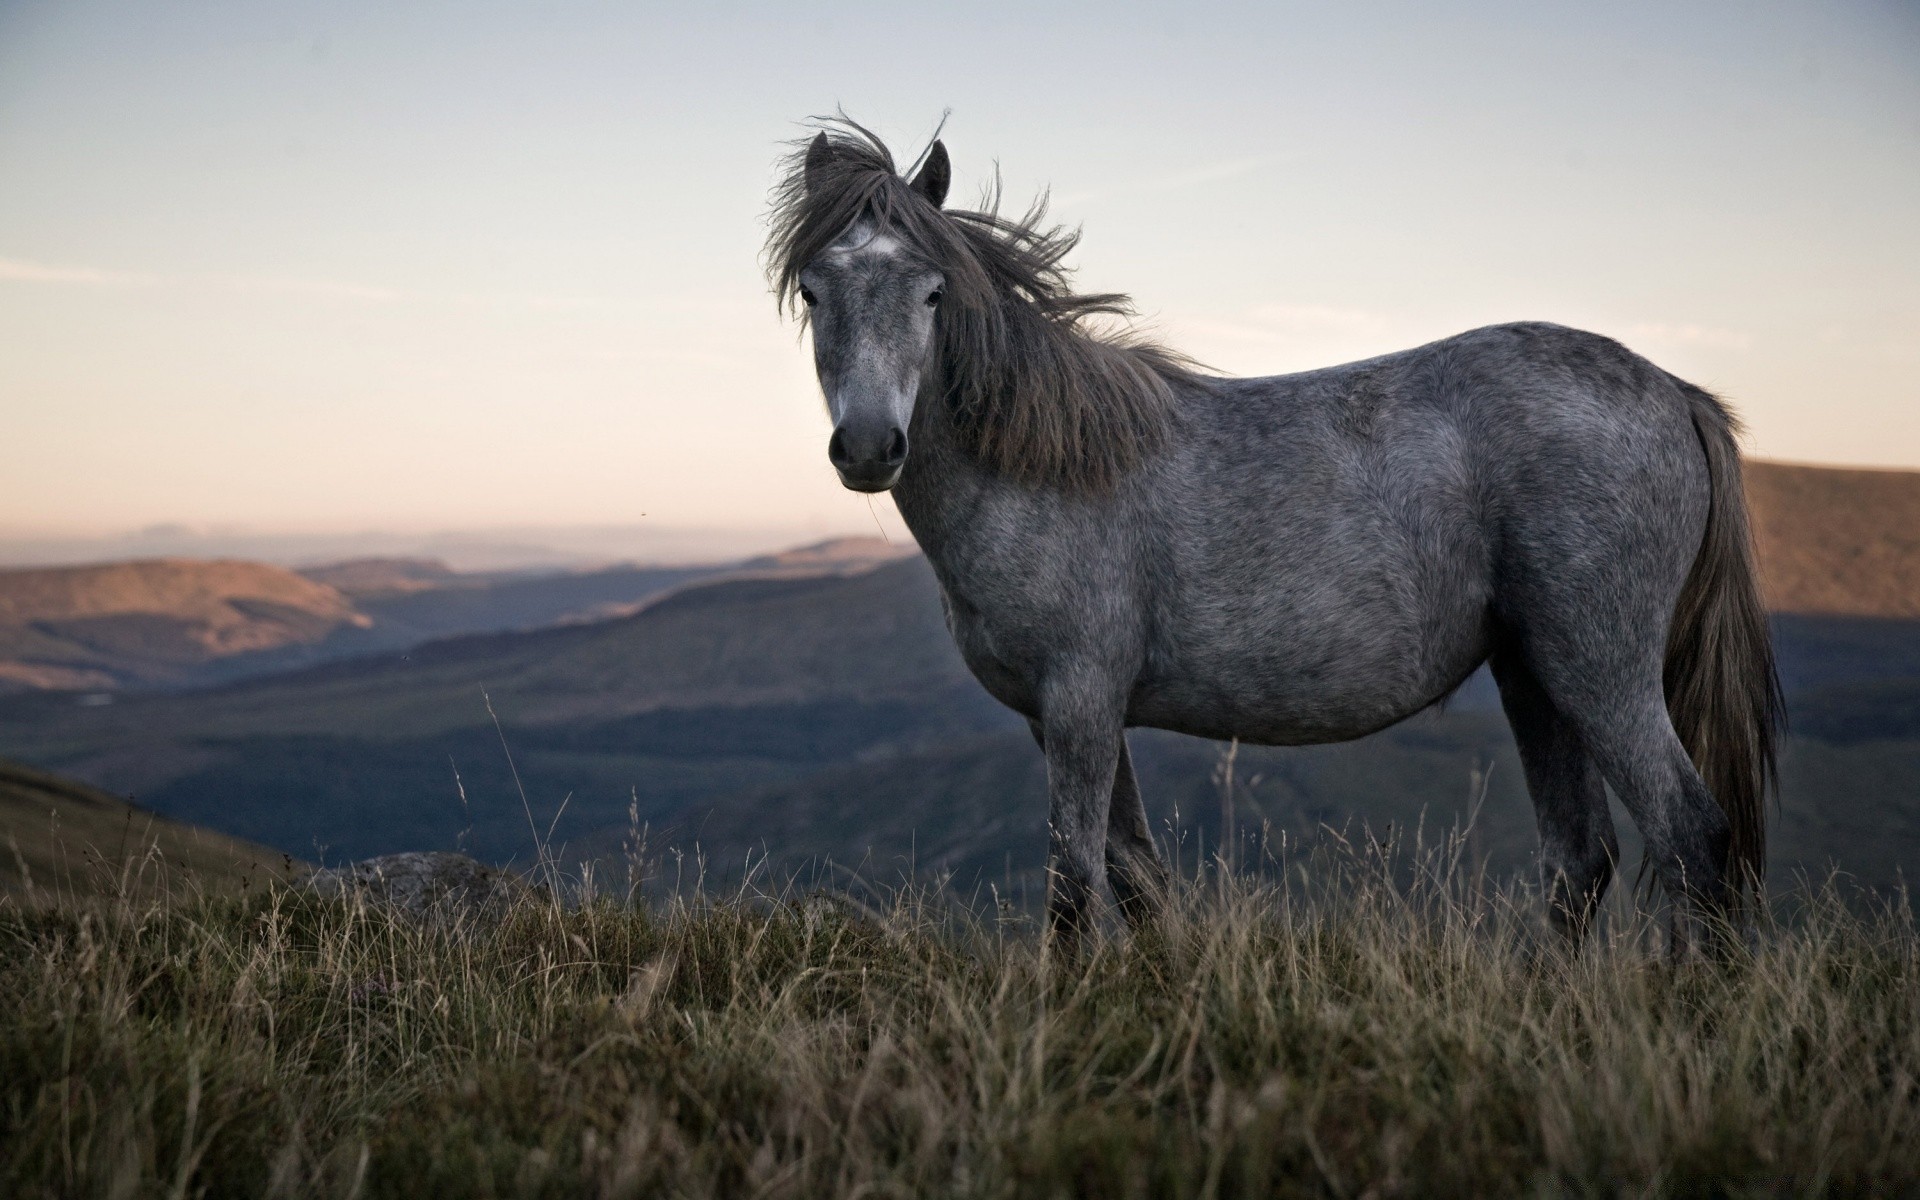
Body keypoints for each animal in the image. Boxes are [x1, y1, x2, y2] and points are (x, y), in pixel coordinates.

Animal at [764, 119, 1781, 944]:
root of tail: (1675, 393)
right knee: (1581, 860)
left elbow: (1075, 889)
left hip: (1599, 669)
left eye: (932, 292)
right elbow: (1136, 880)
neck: (1046, 468)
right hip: (1534, 674)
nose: (869, 445)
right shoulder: (1061, 715)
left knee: (1690, 836)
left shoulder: (1082, 701)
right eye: (813, 290)